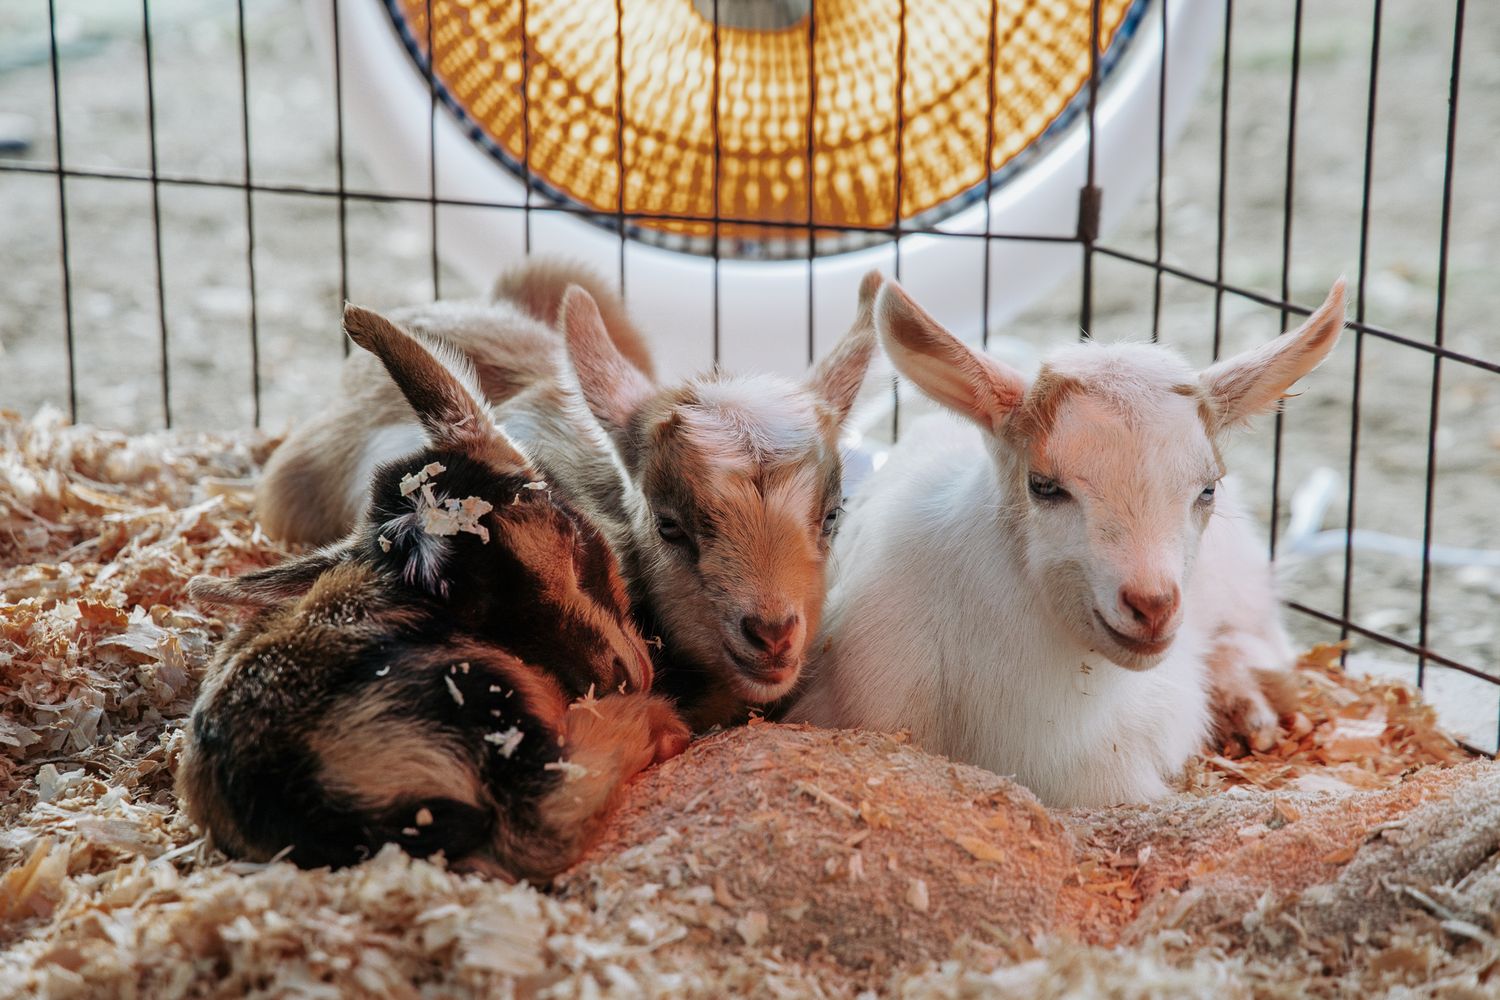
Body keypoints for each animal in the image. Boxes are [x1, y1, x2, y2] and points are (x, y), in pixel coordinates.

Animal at [179, 304, 688, 881]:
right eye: (480, 617)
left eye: (577, 543)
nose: (621, 678)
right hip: (486, 708)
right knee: (544, 820)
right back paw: (661, 726)